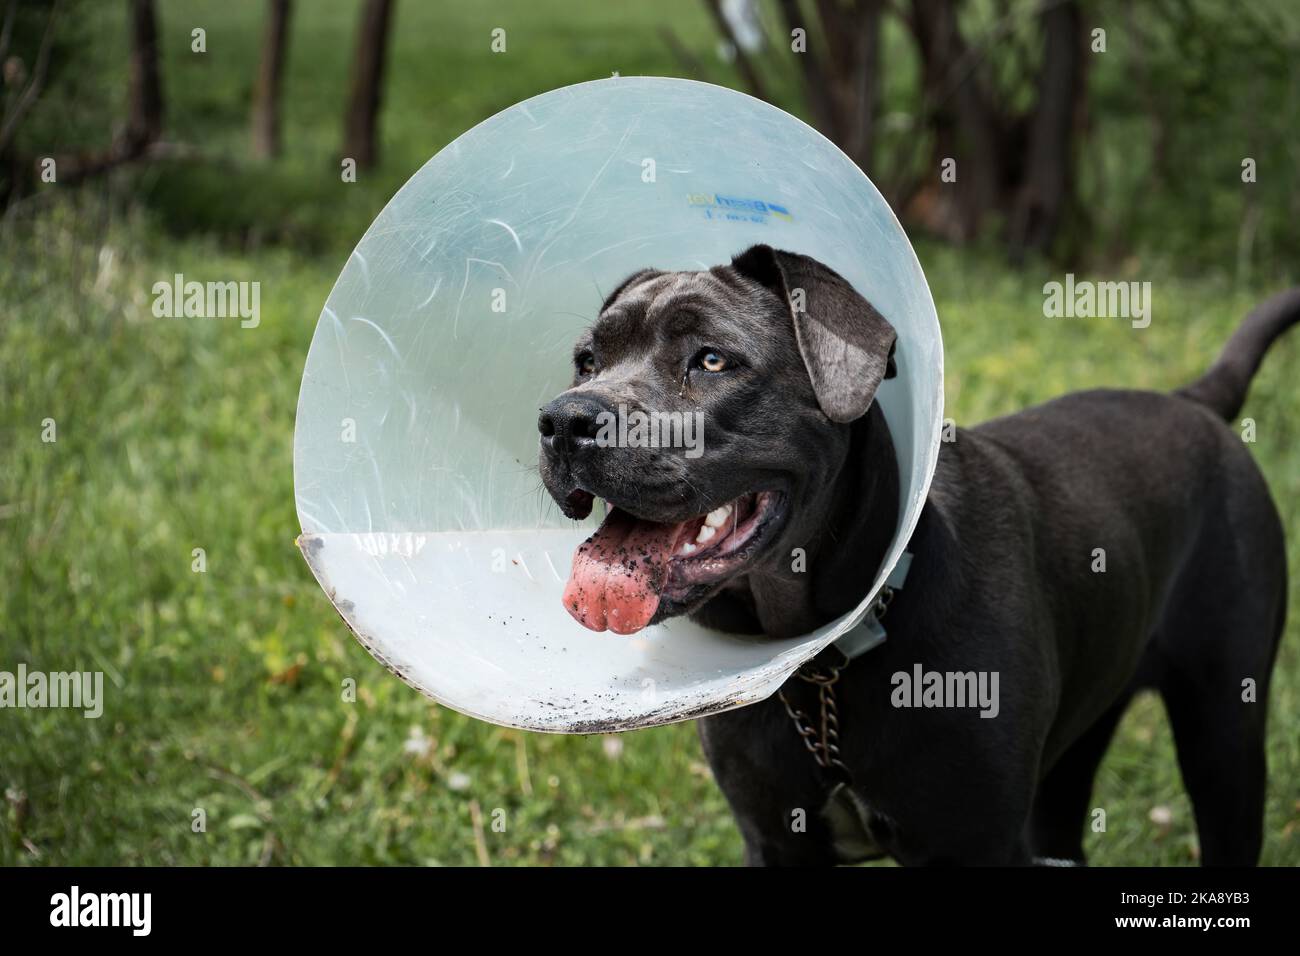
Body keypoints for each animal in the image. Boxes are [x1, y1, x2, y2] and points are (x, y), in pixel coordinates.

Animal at [535, 247, 1289, 868]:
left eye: (712, 360)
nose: (564, 420)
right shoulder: (776, 839)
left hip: (1225, 733)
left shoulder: (977, 845)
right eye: (587, 361)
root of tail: (1195, 402)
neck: (824, 669)